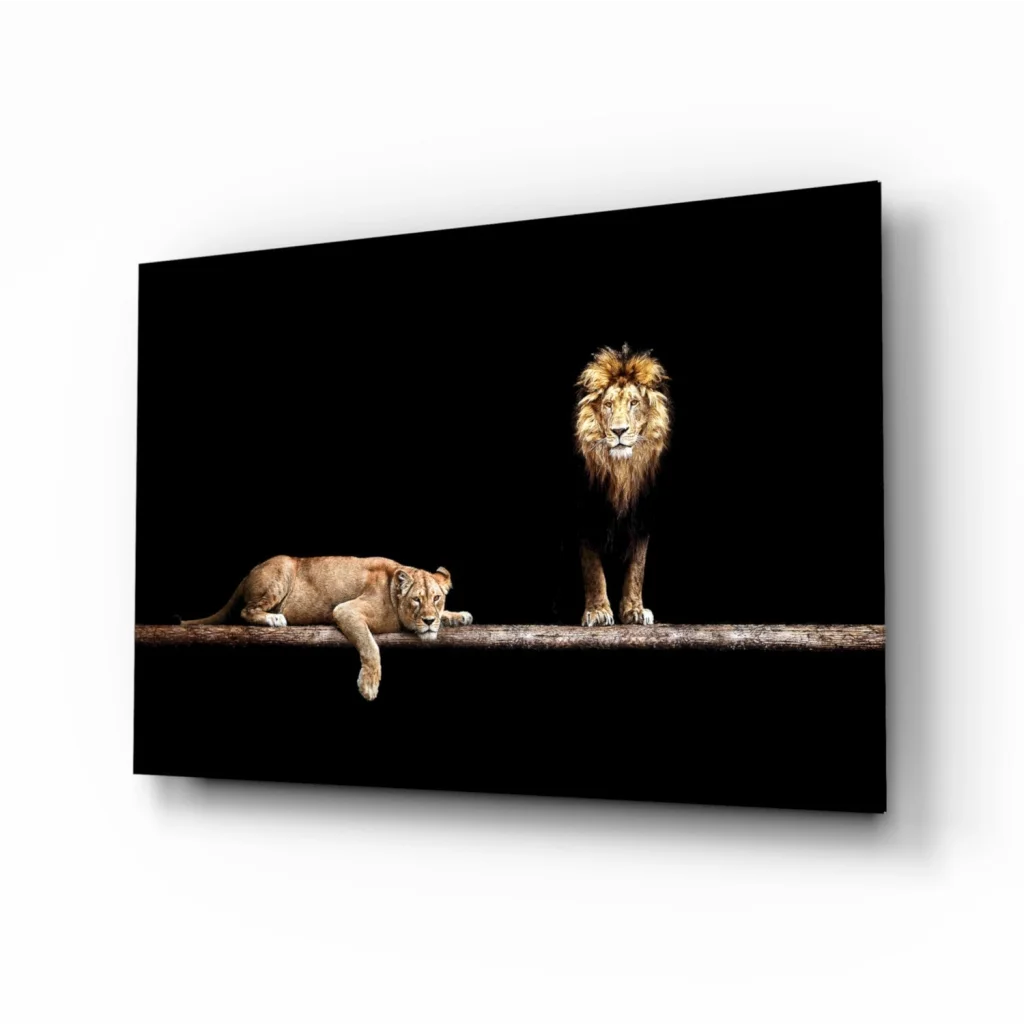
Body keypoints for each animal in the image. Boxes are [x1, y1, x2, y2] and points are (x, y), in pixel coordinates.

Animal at [180, 556, 473, 700]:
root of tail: (249, 573)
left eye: (437, 598)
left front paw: (457, 616)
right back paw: (274, 619)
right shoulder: (345, 610)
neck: (394, 591)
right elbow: (371, 648)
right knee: (246, 611)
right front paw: (369, 686)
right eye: (417, 600)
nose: (429, 621)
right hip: (281, 572)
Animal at [574, 344, 671, 626]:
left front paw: (634, 610)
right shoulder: (587, 515)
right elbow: (593, 567)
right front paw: (597, 611)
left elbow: (637, 567)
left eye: (634, 403)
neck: (620, 471)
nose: (619, 431)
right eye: (608, 405)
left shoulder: (641, 516)